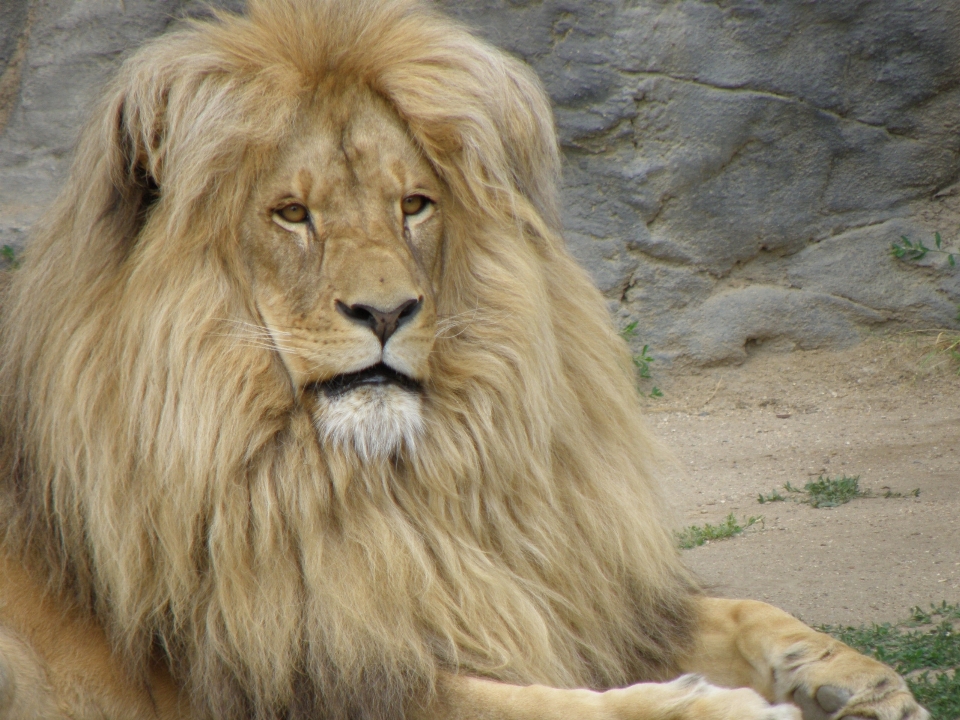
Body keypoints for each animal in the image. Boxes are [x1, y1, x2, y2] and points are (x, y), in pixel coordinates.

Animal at [0, 1, 928, 720]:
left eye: (414, 205)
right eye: (292, 214)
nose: (386, 312)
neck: (398, 487)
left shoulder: (550, 585)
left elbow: (741, 609)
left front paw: (859, 681)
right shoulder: (309, 679)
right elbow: (558, 705)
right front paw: (719, 706)